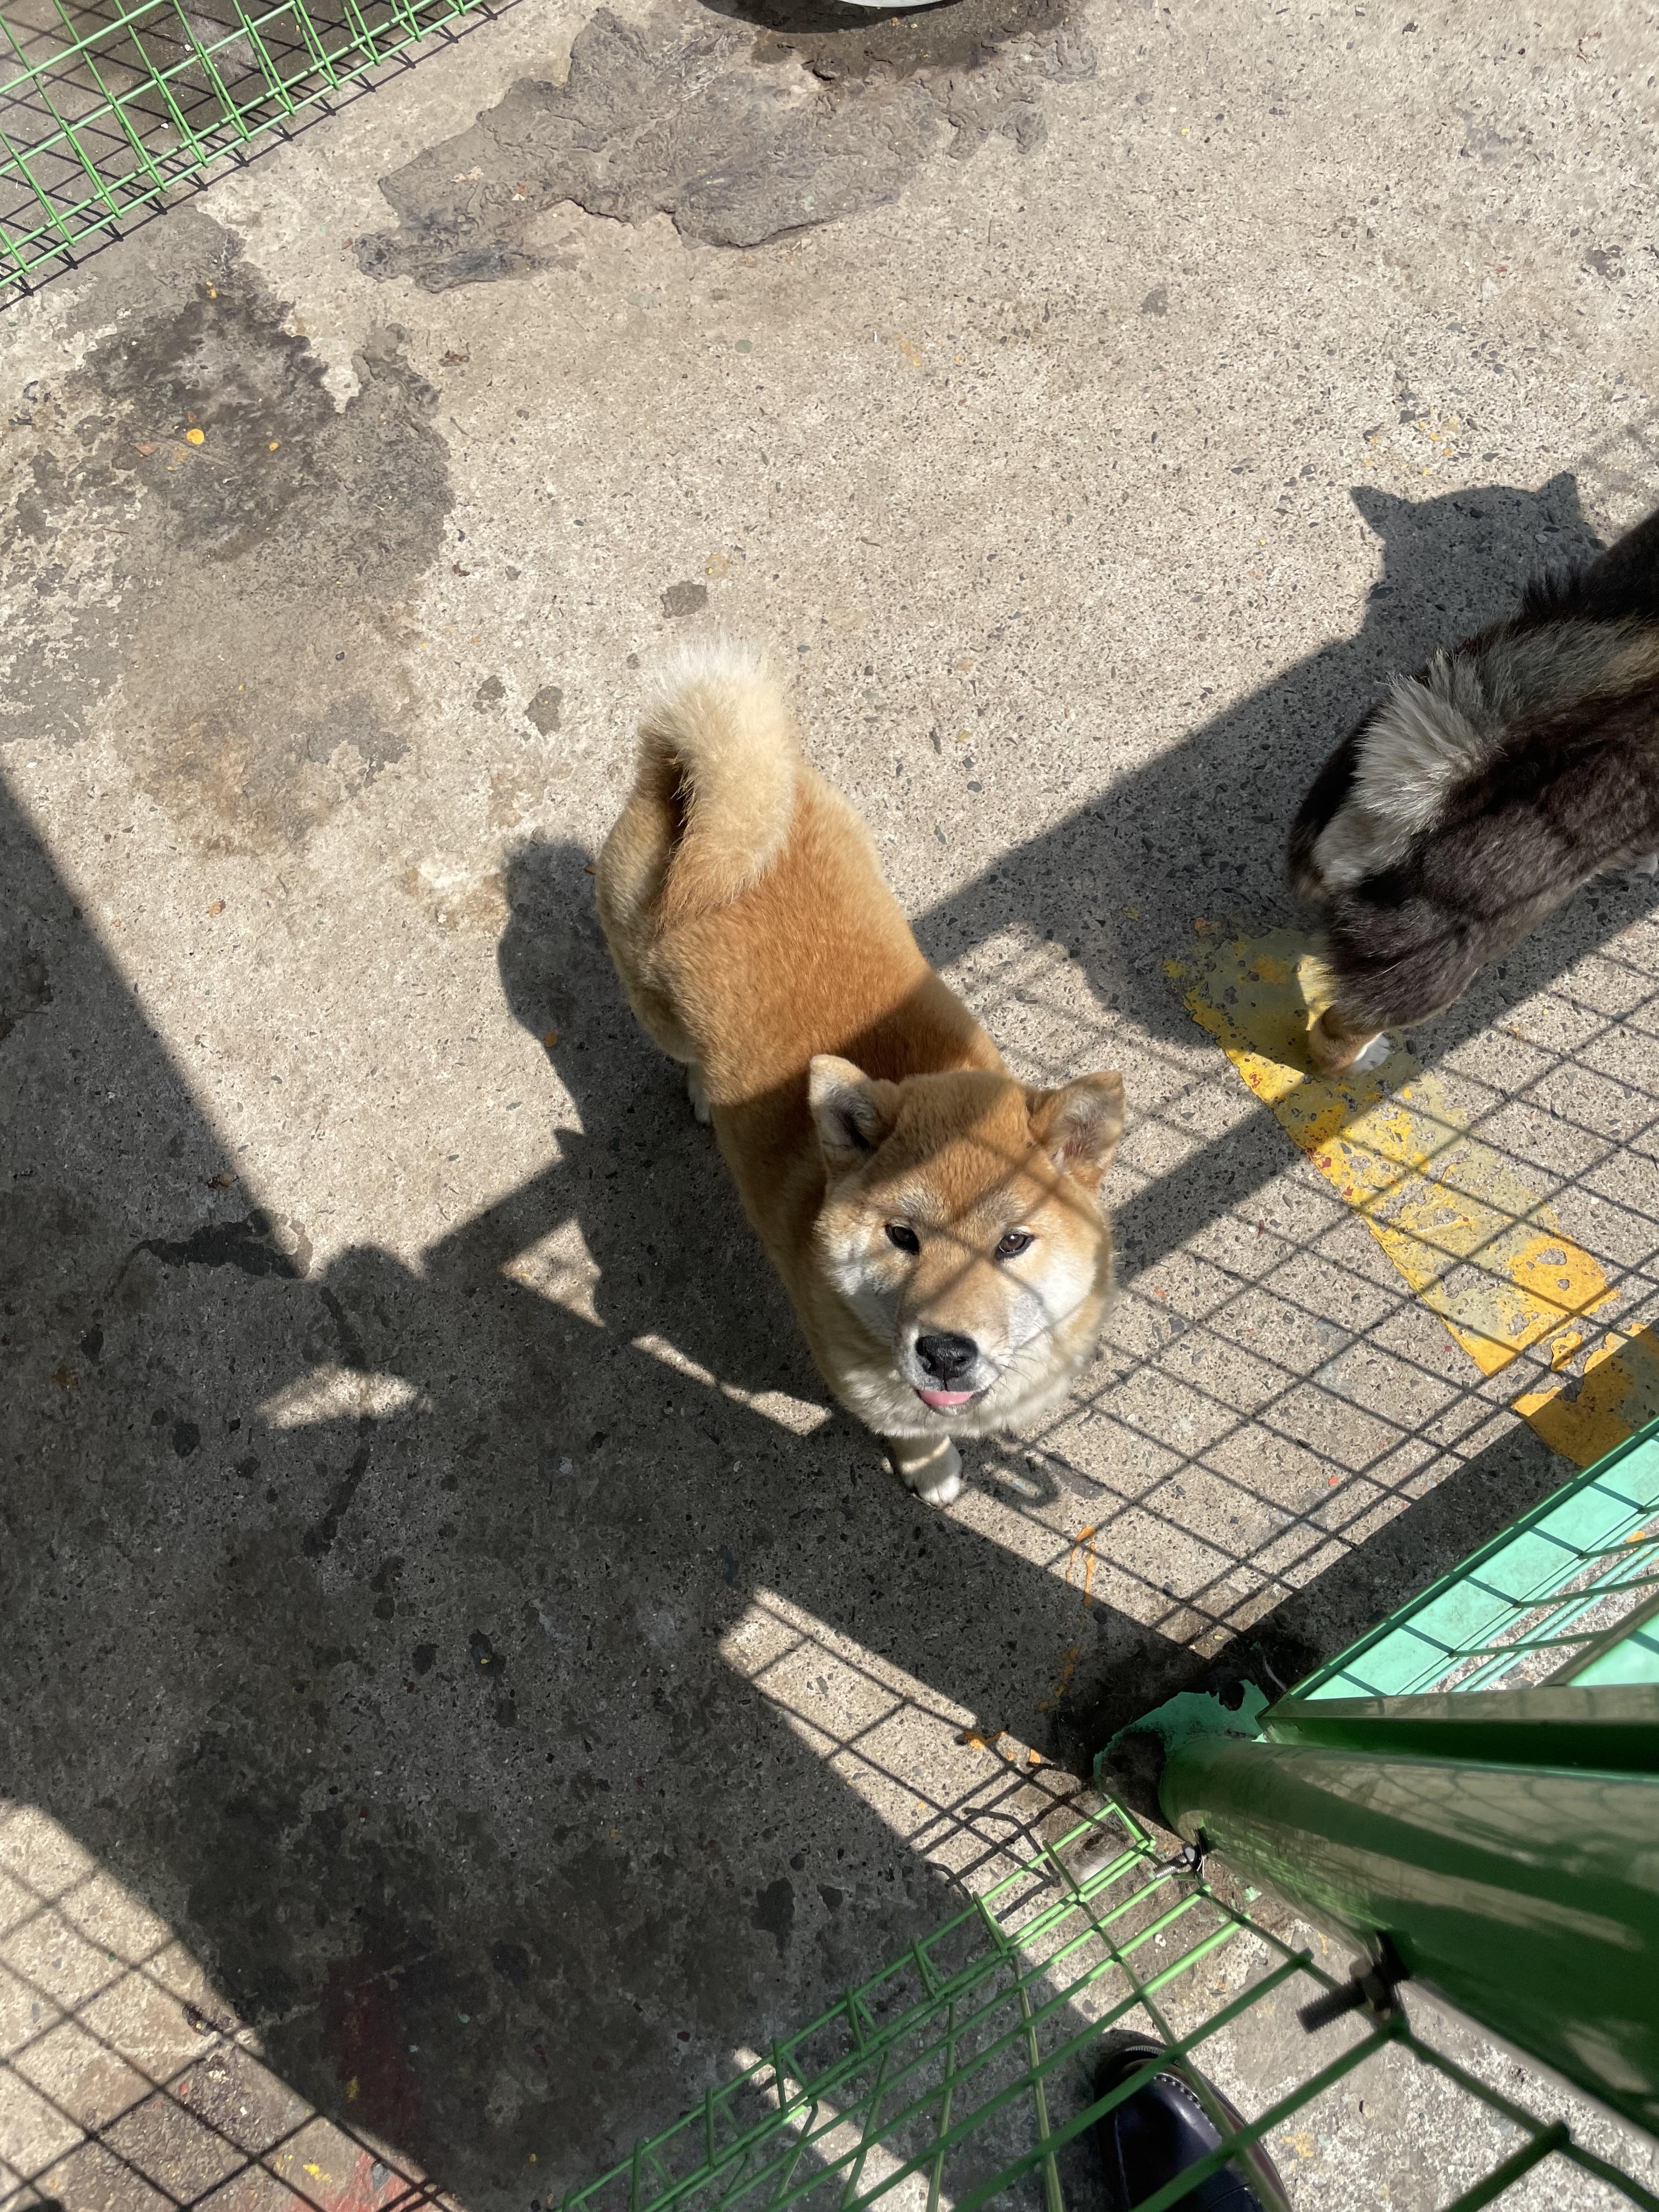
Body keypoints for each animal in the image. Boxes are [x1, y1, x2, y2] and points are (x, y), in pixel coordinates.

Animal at [595, 640, 1124, 1505]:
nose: (945, 1352)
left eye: (1014, 1243)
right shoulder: (870, 1390)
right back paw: (703, 1090)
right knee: (678, 1051)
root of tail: (686, 795)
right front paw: (934, 1470)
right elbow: (914, 1434)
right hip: (652, 1004)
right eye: (902, 1237)